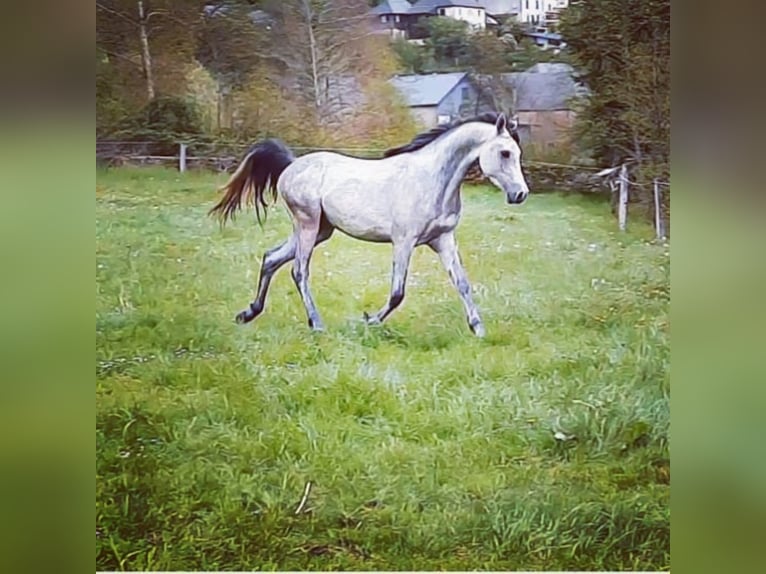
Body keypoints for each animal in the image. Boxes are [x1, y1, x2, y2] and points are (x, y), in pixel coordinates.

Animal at [213, 112, 532, 338]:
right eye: (505, 153)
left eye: (517, 153)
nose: (520, 194)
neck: (432, 180)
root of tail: (291, 165)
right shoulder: (404, 241)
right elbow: (397, 293)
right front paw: (368, 320)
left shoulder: (443, 239)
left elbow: (462, 283)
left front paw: (478, 328)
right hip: (307, 225)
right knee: (298, 271)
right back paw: (316, 324)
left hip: (321, 230)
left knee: (271, 258)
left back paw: (248, 313)